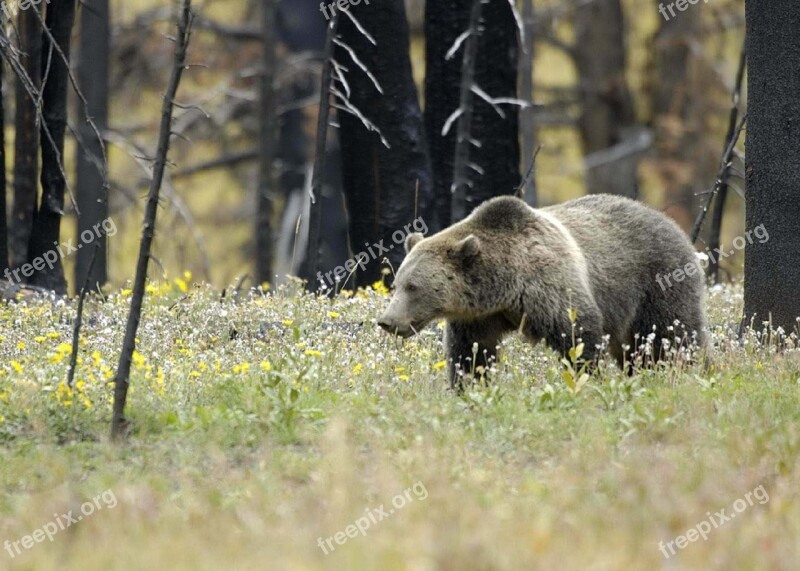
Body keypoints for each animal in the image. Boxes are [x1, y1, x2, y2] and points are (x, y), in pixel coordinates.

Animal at [378, 194, 704, 386]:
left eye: (413, 287)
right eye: (396, 284)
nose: (387, 321)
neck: (504, 287)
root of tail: (670, 221)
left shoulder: (549, 287)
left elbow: (578, 335)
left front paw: (588, 379)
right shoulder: (479, 317)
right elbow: (471, 353)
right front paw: (469, 386)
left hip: (657, 282)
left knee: (674, 337)